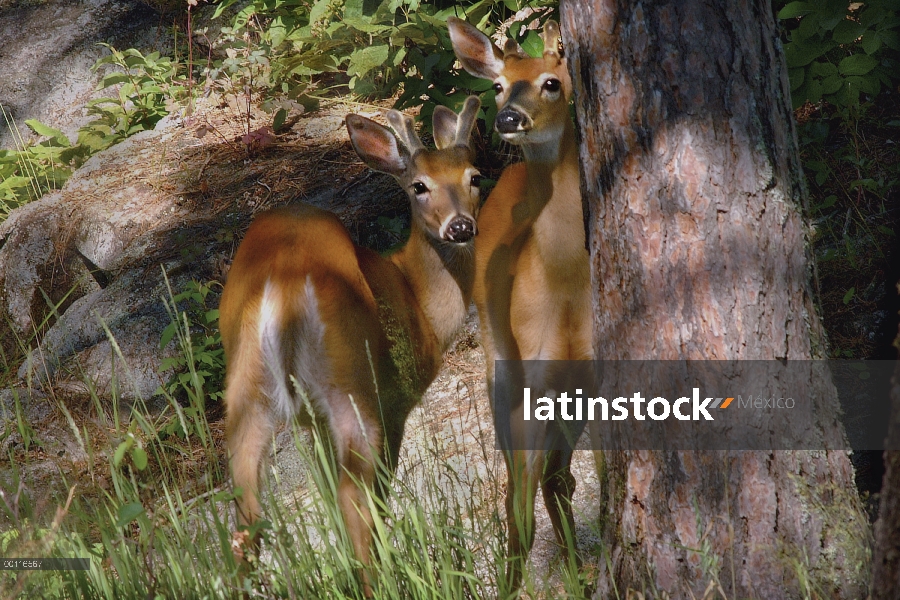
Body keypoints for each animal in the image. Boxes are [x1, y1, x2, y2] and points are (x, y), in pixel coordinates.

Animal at [219, 96, 486, 592]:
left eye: (473, 176)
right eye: (419, 186)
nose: (460, 227)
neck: (416, 298)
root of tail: (284, 282)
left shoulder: (314, 421)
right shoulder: (396, 400)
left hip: (247, 385)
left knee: (246, 511)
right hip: (350, 379)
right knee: (354, 498)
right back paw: (378, 582)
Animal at [446, 16, 600, 592]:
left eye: (551, 82)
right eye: (498, 85)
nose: (509, 119)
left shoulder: (595, 370)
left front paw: (581, 577)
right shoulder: (535, 371)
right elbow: (521, 501)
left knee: (556, 477)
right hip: (502, 365)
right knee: (522, 485)